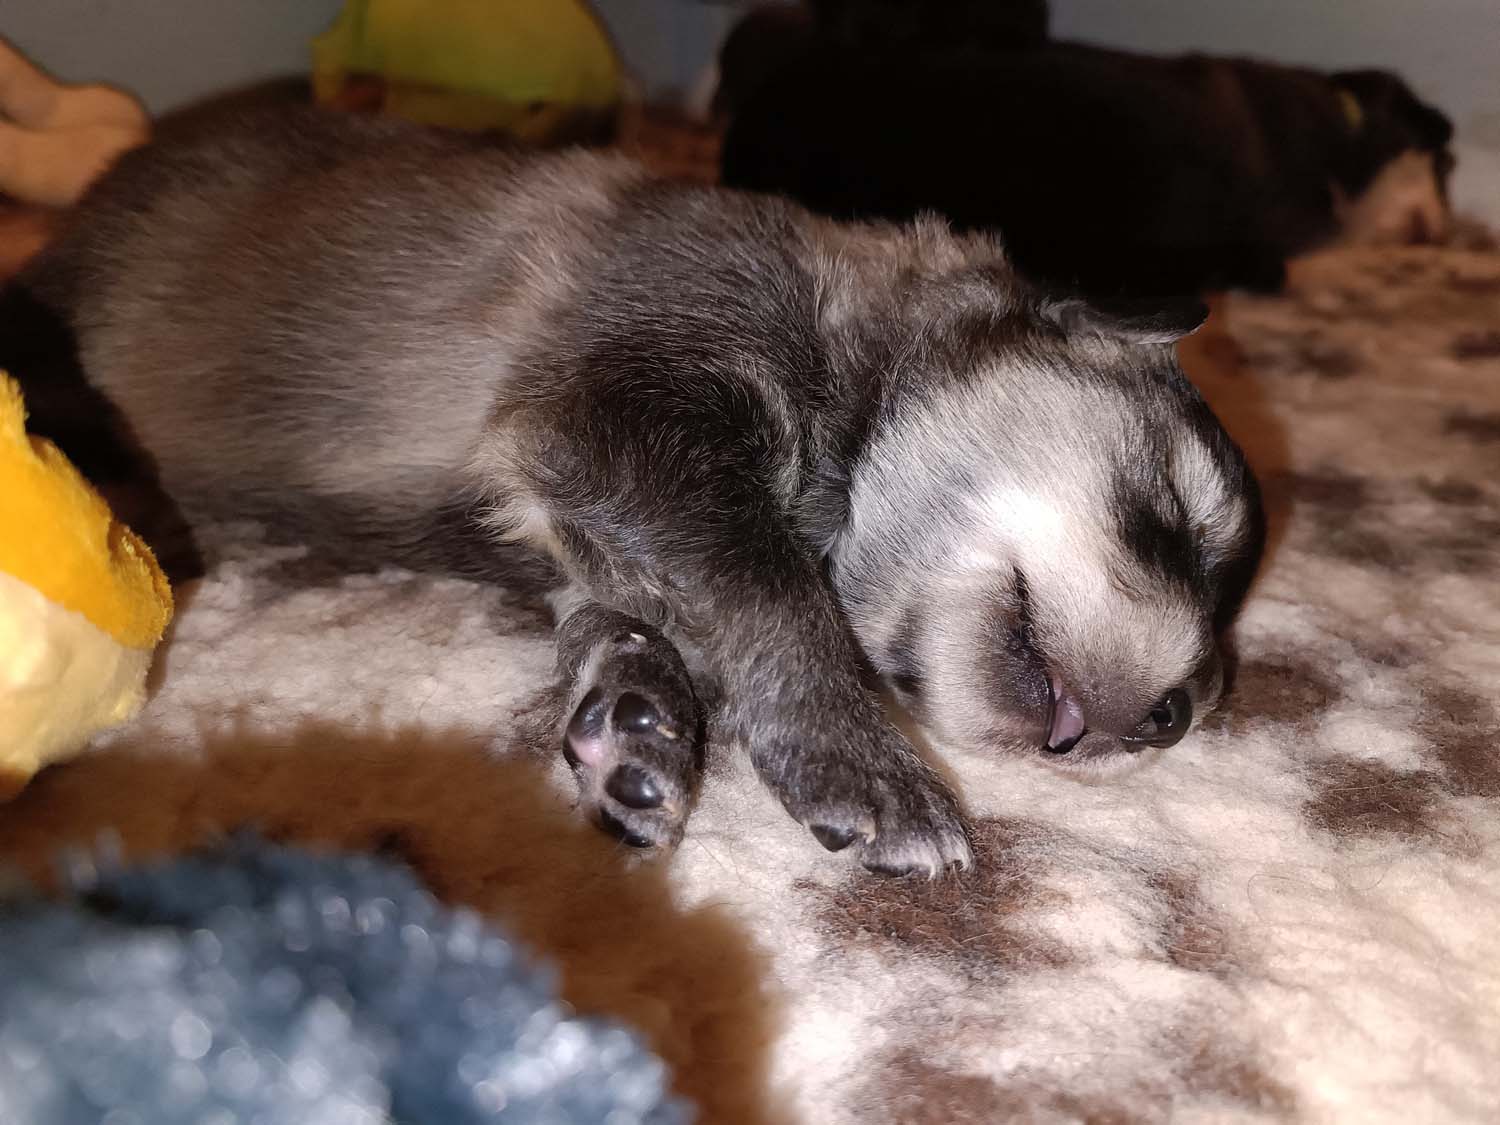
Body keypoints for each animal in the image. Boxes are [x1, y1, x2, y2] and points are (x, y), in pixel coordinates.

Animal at [6, 106, 1264, 875]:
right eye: (1172, 516)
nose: (1174, 718)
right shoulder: (623, 408)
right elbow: (773, 586)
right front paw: (867, 762)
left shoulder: (588, 515)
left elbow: (628, 614)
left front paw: (640, 723)